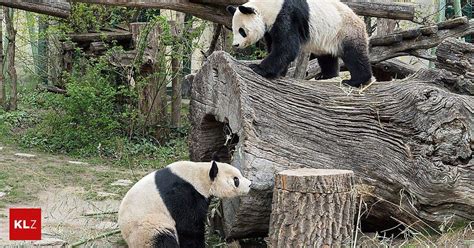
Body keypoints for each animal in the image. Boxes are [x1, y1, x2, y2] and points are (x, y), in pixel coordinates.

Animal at [117, 160, 252, 247]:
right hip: (147, 228)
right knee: (163, 240)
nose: (250, 184)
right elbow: (189, 226)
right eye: (236, 180)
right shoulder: (181, 194)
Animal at [228, 0, 372, 87]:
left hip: (346, 30)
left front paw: (258, 68)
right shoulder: (270, 28)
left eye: (242, 31)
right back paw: (325, 75)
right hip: (328, 38)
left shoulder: (287, 15)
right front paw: (280, 72)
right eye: (234, 29)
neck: (268, 7)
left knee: (354, 55)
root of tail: (361, 22)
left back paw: (355, 80)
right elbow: (275, 47)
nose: (235, 45)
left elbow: (287, 47)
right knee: (326, 57)